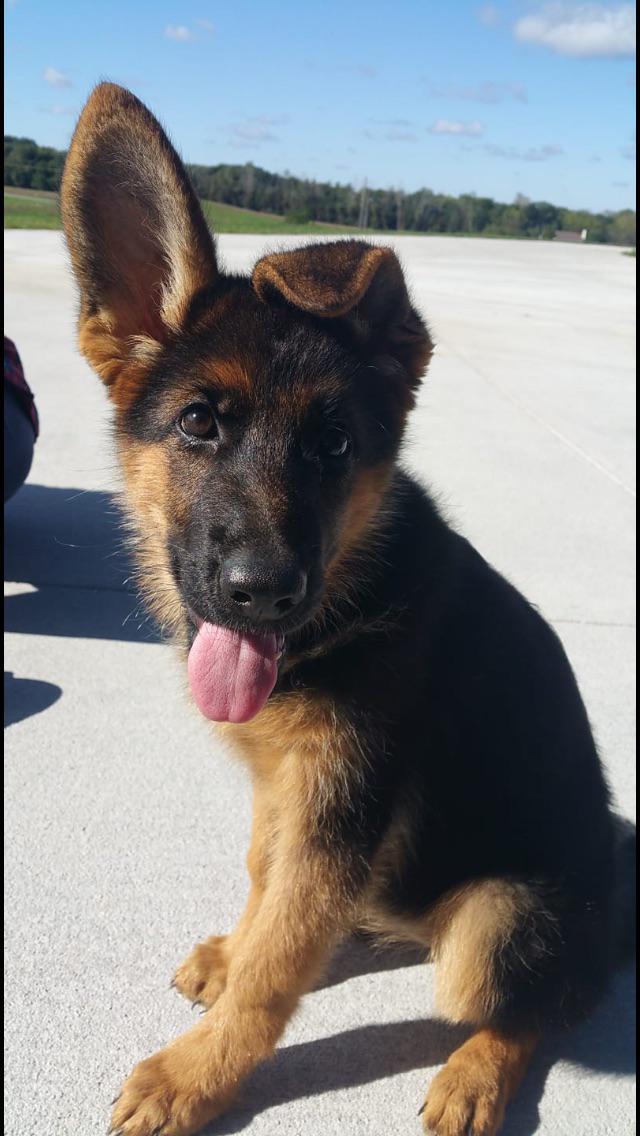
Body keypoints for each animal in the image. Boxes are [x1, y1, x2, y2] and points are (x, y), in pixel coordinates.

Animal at [62, 84, 632, 1131]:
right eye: (198, 423)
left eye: (334, 445)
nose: (263, 593)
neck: (349, 600)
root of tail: (615, 908)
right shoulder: (289, 786)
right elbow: (267, 886)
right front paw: (235, 951)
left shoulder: (343, 799)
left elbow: (278, 965)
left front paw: (197, 1075)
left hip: (502, 917)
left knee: (544, 1002)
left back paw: (476, 1073)